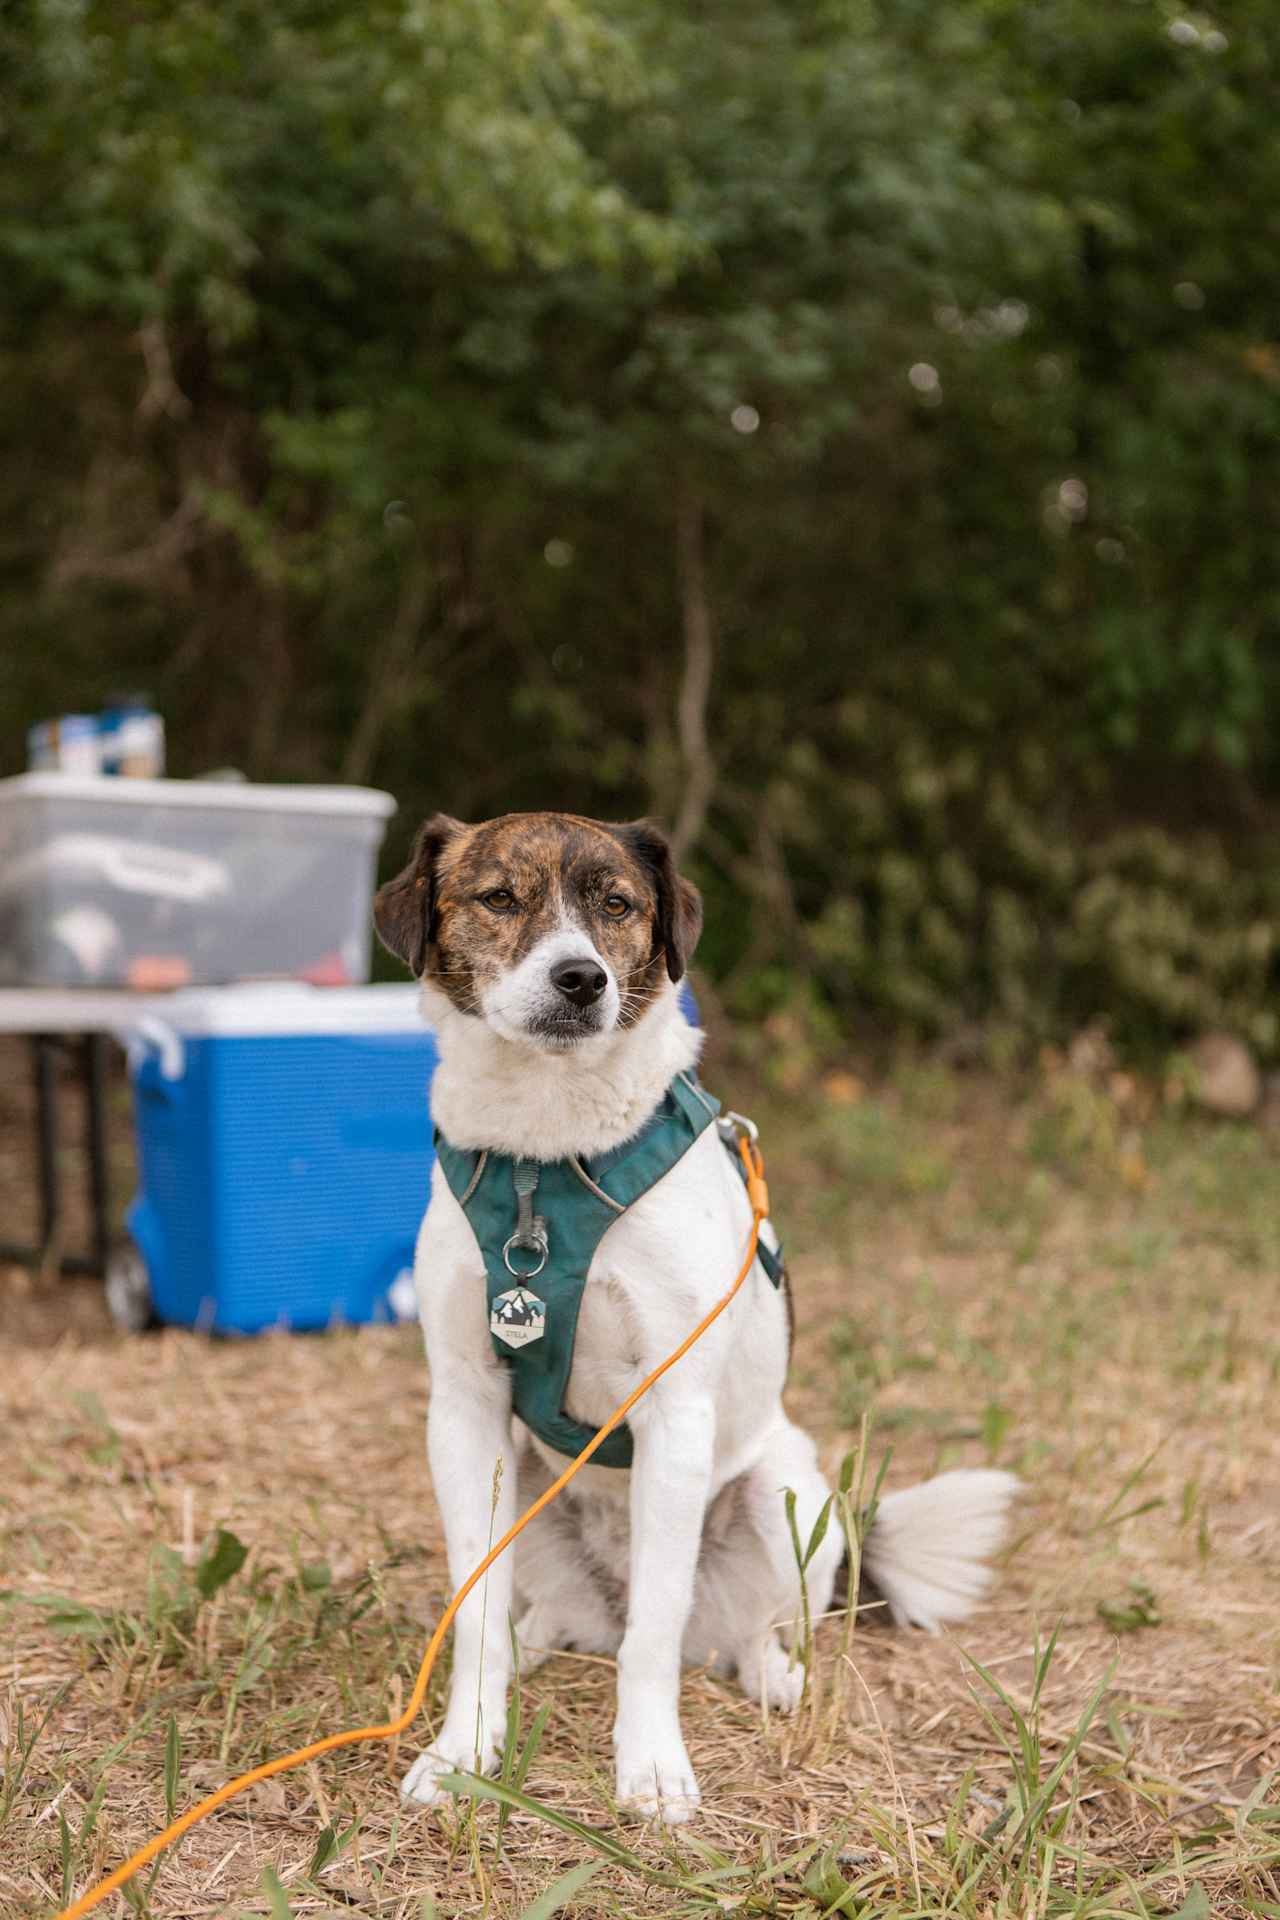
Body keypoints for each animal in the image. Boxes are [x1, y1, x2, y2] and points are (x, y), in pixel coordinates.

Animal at [372, 806, 1020, 1812]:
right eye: (500, 898)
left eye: (616, 905)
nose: (582, 979)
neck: (545, 1161)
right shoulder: (466, 1410)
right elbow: (472, 1610)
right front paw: (464, 1750)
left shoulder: (675, 1412)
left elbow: (655, 1634)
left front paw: (649, 1768)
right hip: (529, 1495)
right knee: (548, 1612)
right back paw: (536, 1639)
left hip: (787, 1492)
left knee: (730, 1627)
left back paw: (774, 1674)